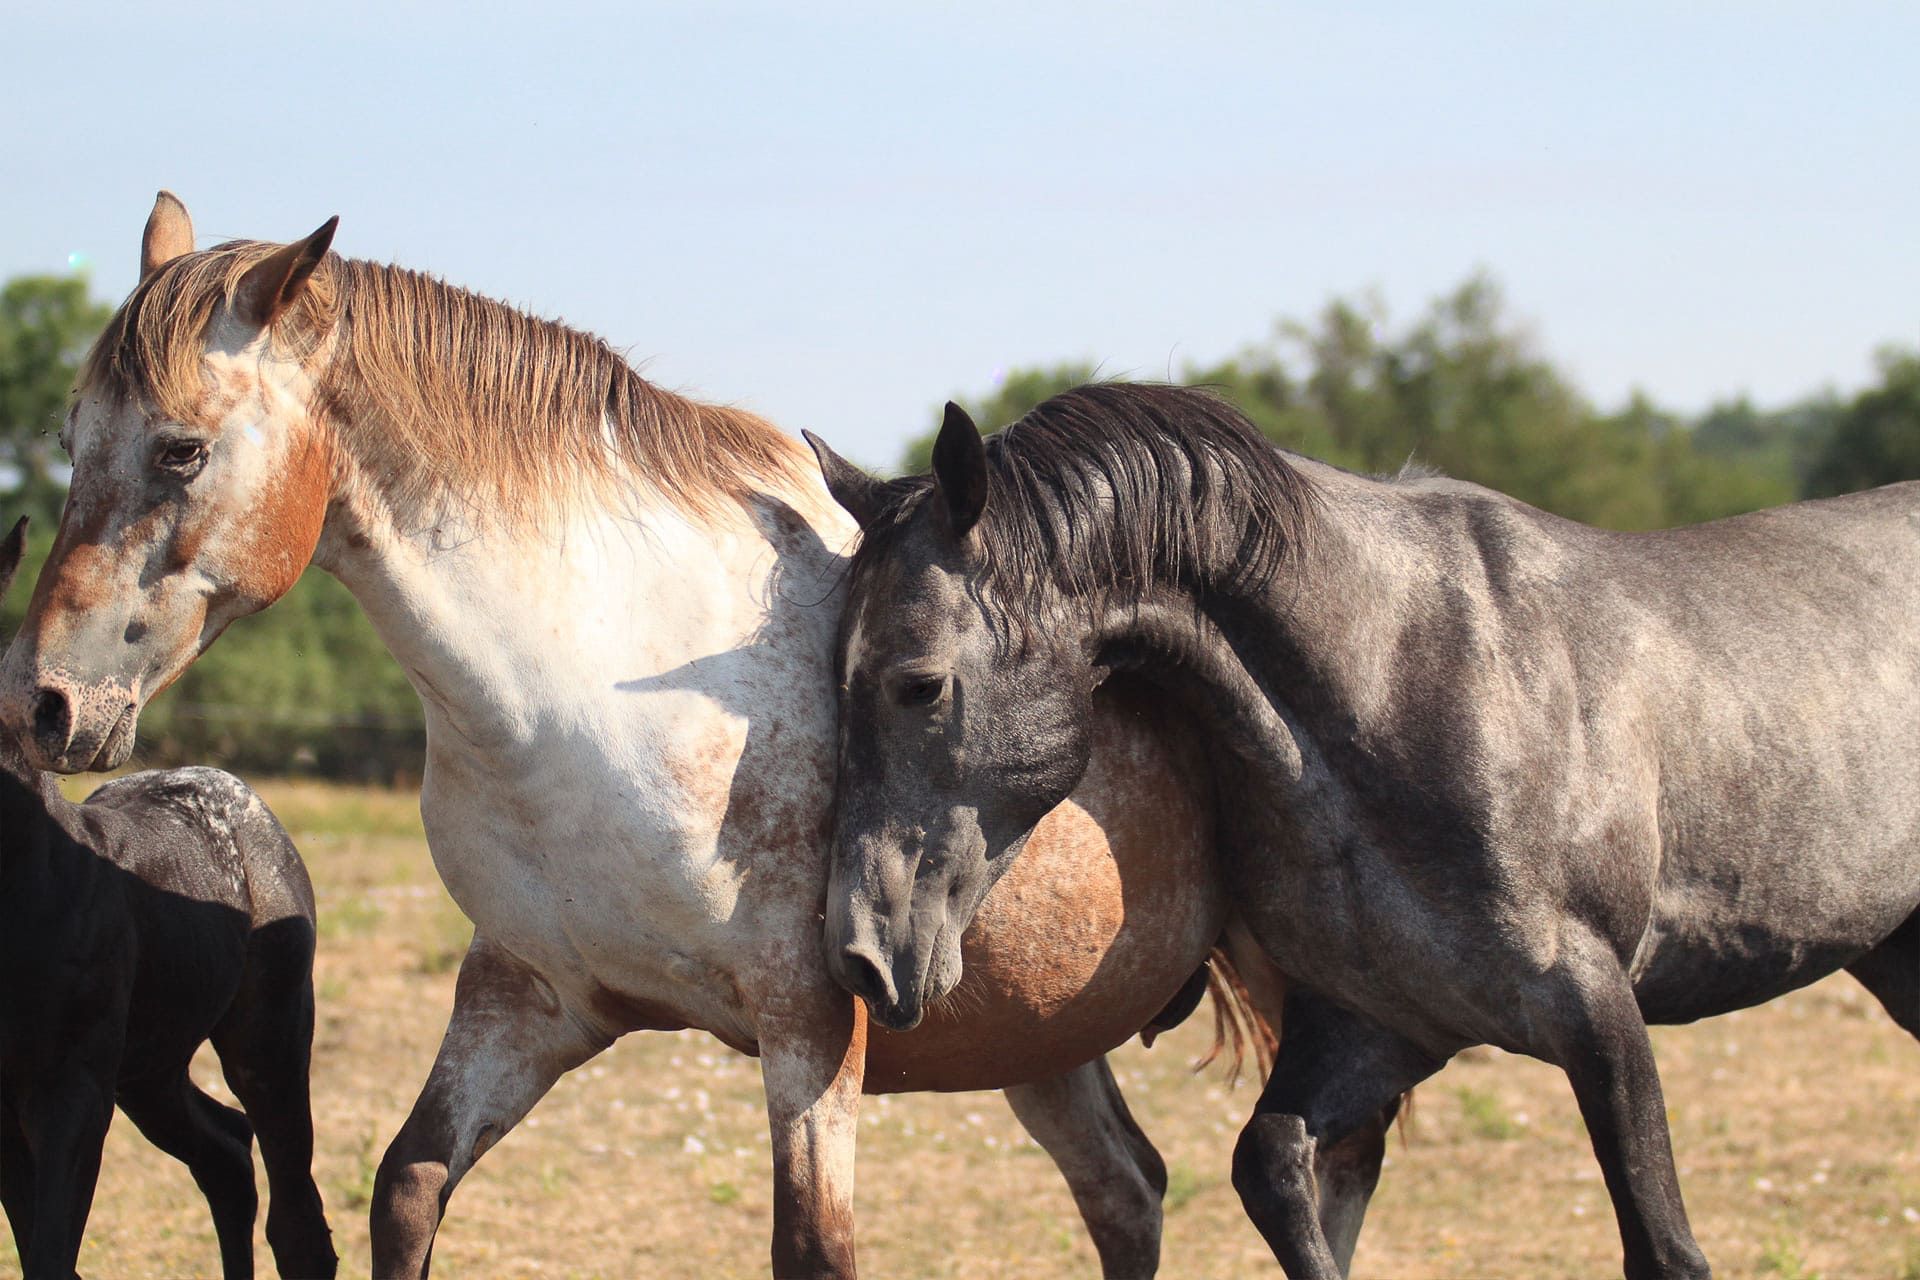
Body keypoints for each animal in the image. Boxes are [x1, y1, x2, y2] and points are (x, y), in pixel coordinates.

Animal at [0, 521, 337, 1280]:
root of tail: (239, 794)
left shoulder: (73, 1092)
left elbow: (53, 1251)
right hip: (150, 1071)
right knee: (225, 1153)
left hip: (264, 1043)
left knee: (294, 1214)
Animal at [810, 385, 1920, 1274]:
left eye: (919, 683)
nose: (860, 951)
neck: (1396, 683)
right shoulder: (1380, 1023)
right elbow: (1272, 1168)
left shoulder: (1597, 1011)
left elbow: (1664, 1247)